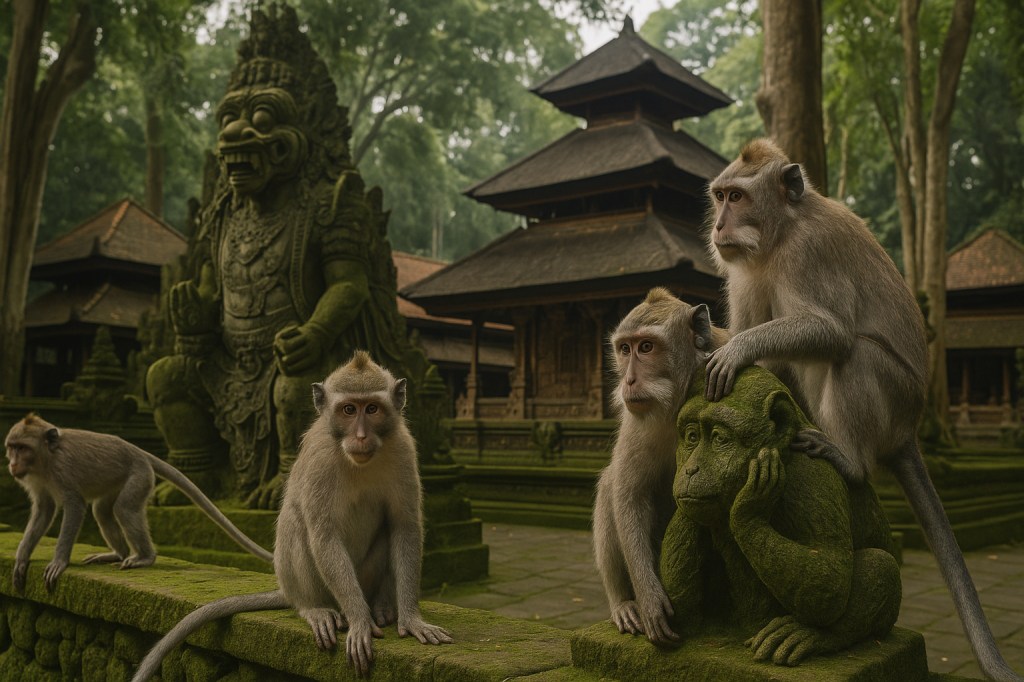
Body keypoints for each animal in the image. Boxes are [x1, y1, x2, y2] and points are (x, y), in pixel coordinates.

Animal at [4, 414, 273, 592]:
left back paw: (144, 557)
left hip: (139, 476)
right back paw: (118, 553)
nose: (12, 464)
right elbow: (44, 510)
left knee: (123, 509)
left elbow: (75, 507)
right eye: (12, 448)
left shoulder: (63, 471)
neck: (46, 459)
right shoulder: (37, 480)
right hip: (117, 480)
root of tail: (139, 451)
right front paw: (22, 558)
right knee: (103, 511)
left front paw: (59, 562)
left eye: (22, 448)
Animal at [131, 351, 451, 681]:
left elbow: (404, 527)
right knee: (299, 526)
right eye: (349, 409)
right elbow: (323, 534)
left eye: (372, 409)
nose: (361, 436)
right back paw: (315, 609)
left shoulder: (403, 450)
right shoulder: (320, 460)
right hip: (314, 586)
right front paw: (360, 622)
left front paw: (411, 618)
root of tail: (288, 590)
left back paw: (383, 604)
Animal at [702, 137, 1021, 681]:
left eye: (738, 198)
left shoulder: (806, 254)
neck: (781, 233)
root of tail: (910, 429)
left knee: (854, 354)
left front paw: (735, 349)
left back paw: (849, 460)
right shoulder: (744, 268)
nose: (720, 226)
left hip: (895, 401)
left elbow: (830, 331)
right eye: (720, 196)